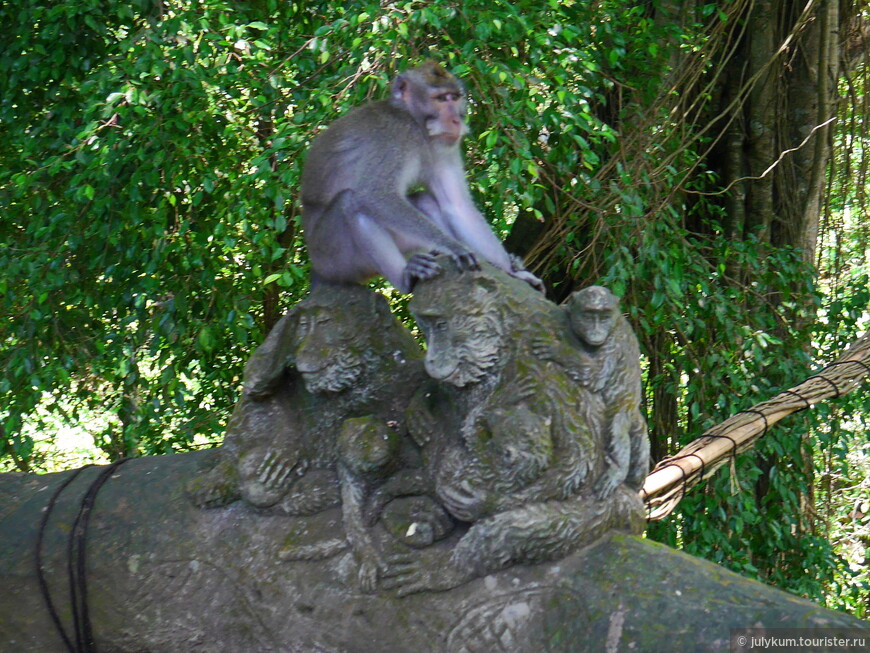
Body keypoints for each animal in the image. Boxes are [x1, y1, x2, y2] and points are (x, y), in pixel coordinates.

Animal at [304, 59, 540, 294]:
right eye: (441, 99)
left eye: (454, 97)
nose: (456, 120)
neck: (417, 124)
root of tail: (317, 268)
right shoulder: (395, 135)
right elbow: (376, 196)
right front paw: (455, 247)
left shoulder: (443, 148)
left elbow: (457, 206)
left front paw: (512, 272)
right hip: (334, 257)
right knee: (351, 203)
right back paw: (406, 278)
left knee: (426, 201)